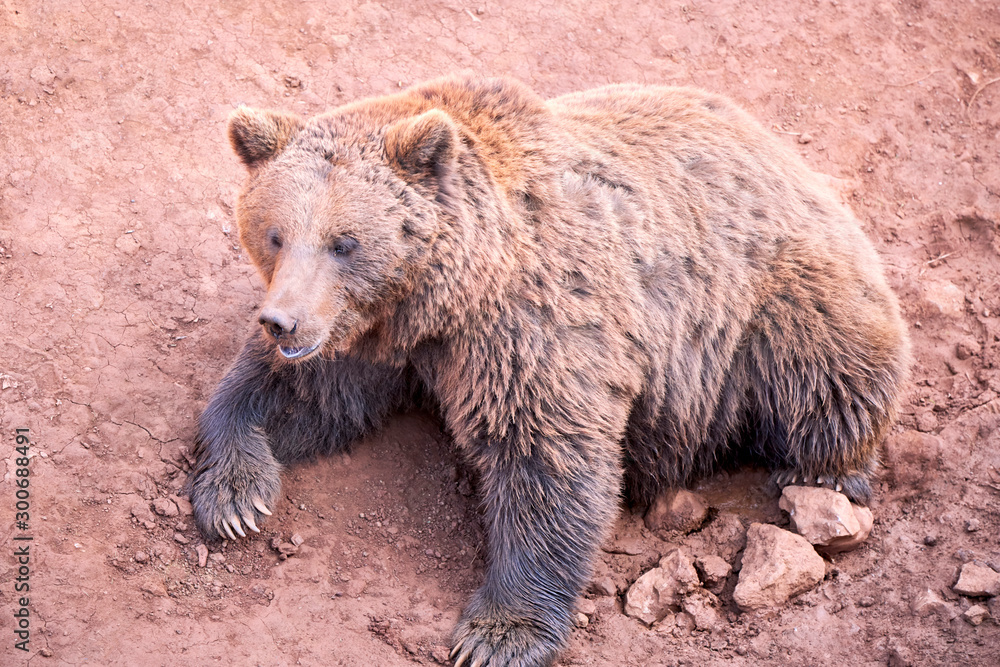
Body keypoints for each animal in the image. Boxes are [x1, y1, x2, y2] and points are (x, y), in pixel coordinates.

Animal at [189, 75, 916, 667]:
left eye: (345, 241)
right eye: (275, 232)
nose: (281, 322)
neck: (441, 298)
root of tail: (787, 153)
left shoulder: (532, 324)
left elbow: (545, 455)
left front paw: (498, 632)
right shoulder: (373, 338)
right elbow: (300, 397)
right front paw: (234, 496)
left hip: (773, 304)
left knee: (825, 372)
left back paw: (826, 474)